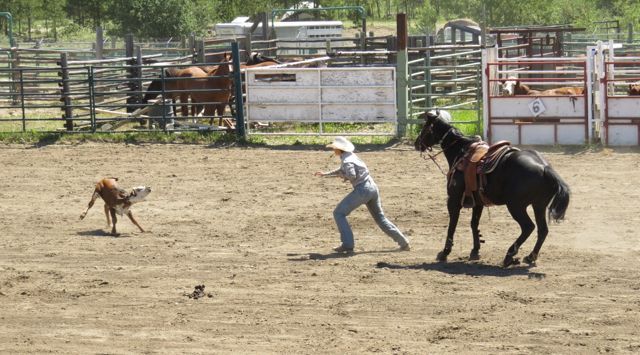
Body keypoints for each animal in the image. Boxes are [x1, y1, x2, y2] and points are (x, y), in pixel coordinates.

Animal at [416, 111, 568, 268]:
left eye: (424, 127)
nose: (416, 143)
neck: (461, 152)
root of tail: (544, 167)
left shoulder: (453, 200)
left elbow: (452, 225)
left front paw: (444, 252)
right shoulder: (477, 202)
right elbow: (474, 223)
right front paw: (475, 251)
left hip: (516, 206)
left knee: (528, 227)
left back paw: (509, 256)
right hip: (539, 206)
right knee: (542, 230)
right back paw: (530, 256)